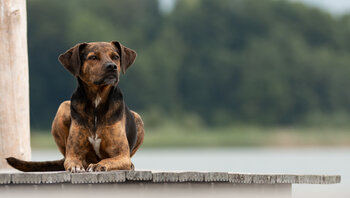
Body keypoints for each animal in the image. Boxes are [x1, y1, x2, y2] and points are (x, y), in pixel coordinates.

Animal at [5, 40, 145, 172]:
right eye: (93, 57)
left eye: (115, 56)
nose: (112, 67)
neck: (96, 100)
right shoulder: (73, 153)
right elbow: (72, 160)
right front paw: (76, 166)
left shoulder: (122, 155)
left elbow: (108, 160)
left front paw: (98, 165)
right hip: (63, 107)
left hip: (138, 118)